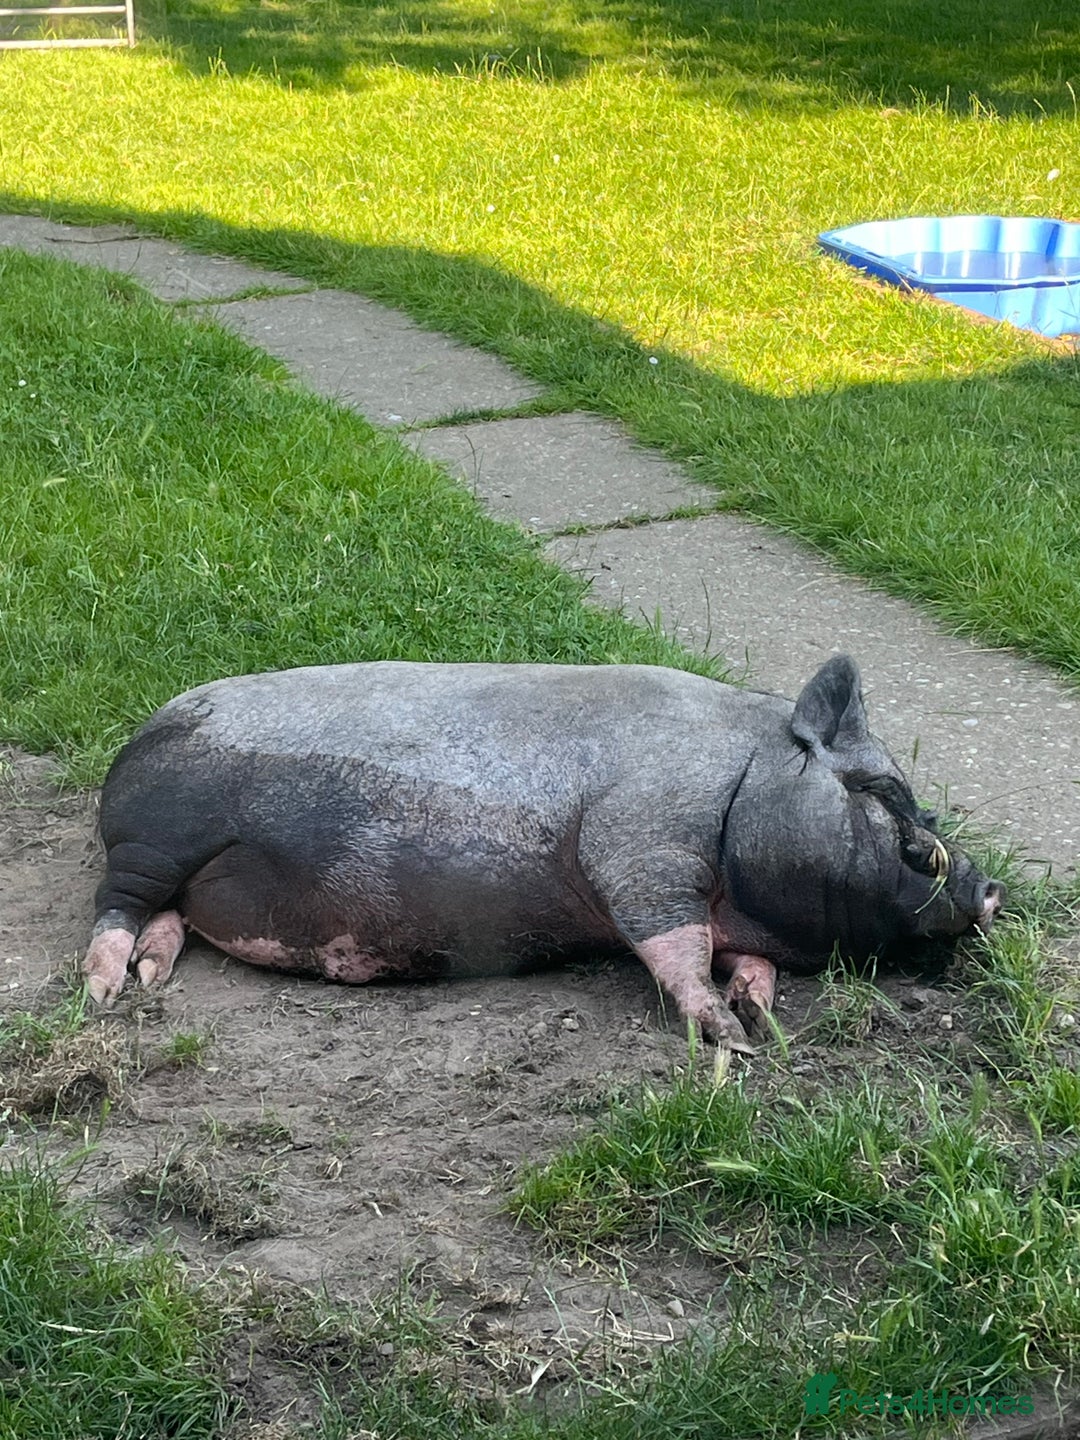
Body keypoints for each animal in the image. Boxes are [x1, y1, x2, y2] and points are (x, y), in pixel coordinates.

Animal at [83, 655, 1004, 1050]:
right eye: (882, 795)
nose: (989, 888)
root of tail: (131, 746)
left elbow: (749, 963)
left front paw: (764, 1020)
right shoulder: (639, 849)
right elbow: (673, 944)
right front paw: (729, 1041)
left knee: (172, 919)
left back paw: (154, 979)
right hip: (155, 836)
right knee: (116, 904)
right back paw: (105, 993)